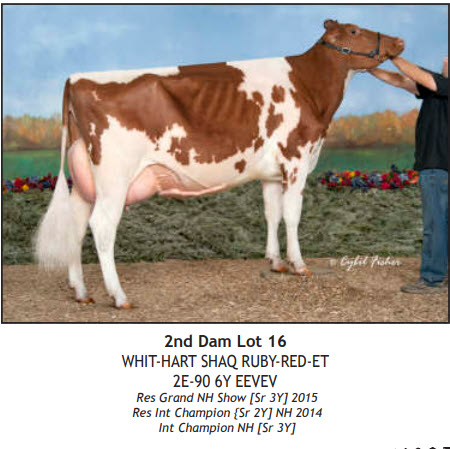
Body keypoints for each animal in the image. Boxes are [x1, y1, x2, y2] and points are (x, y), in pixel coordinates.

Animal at [35, 20, 404, 309]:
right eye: (354, 30)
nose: (399, 41)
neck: (309, 87)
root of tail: (77, 79)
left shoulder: (272, 172)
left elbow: (271, 213)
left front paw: (276, 262)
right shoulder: (297, 159)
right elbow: (292, 216)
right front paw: (299, 265)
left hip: (85, 179)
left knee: (76, 225)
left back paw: (81, 292)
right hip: (114, 176)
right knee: (101, 227)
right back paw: (118, 295)